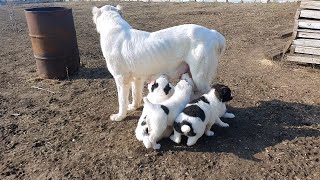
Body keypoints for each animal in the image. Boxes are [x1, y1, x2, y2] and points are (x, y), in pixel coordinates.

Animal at [92, 4, 226, 121]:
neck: (114, 26)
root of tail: (213, 33)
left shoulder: (121, 79)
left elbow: (122, 101)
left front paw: (120, 116)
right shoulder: (137, 78)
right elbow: (136, 94)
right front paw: (134, 107)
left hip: (200, 76)